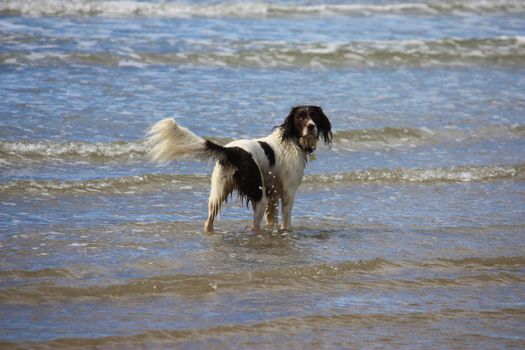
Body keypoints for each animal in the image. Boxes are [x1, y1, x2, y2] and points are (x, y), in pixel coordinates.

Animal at [146, 106, 332, 232]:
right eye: (300, 118)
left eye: (314, 116)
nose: (311, 126)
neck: (292, 140)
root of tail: (232, 151)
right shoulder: (287, 191)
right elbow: (286, 221)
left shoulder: (273, 194)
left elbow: (272, 218)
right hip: (258, 194)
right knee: (255, 225)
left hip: (219, 192)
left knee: (208, 221)